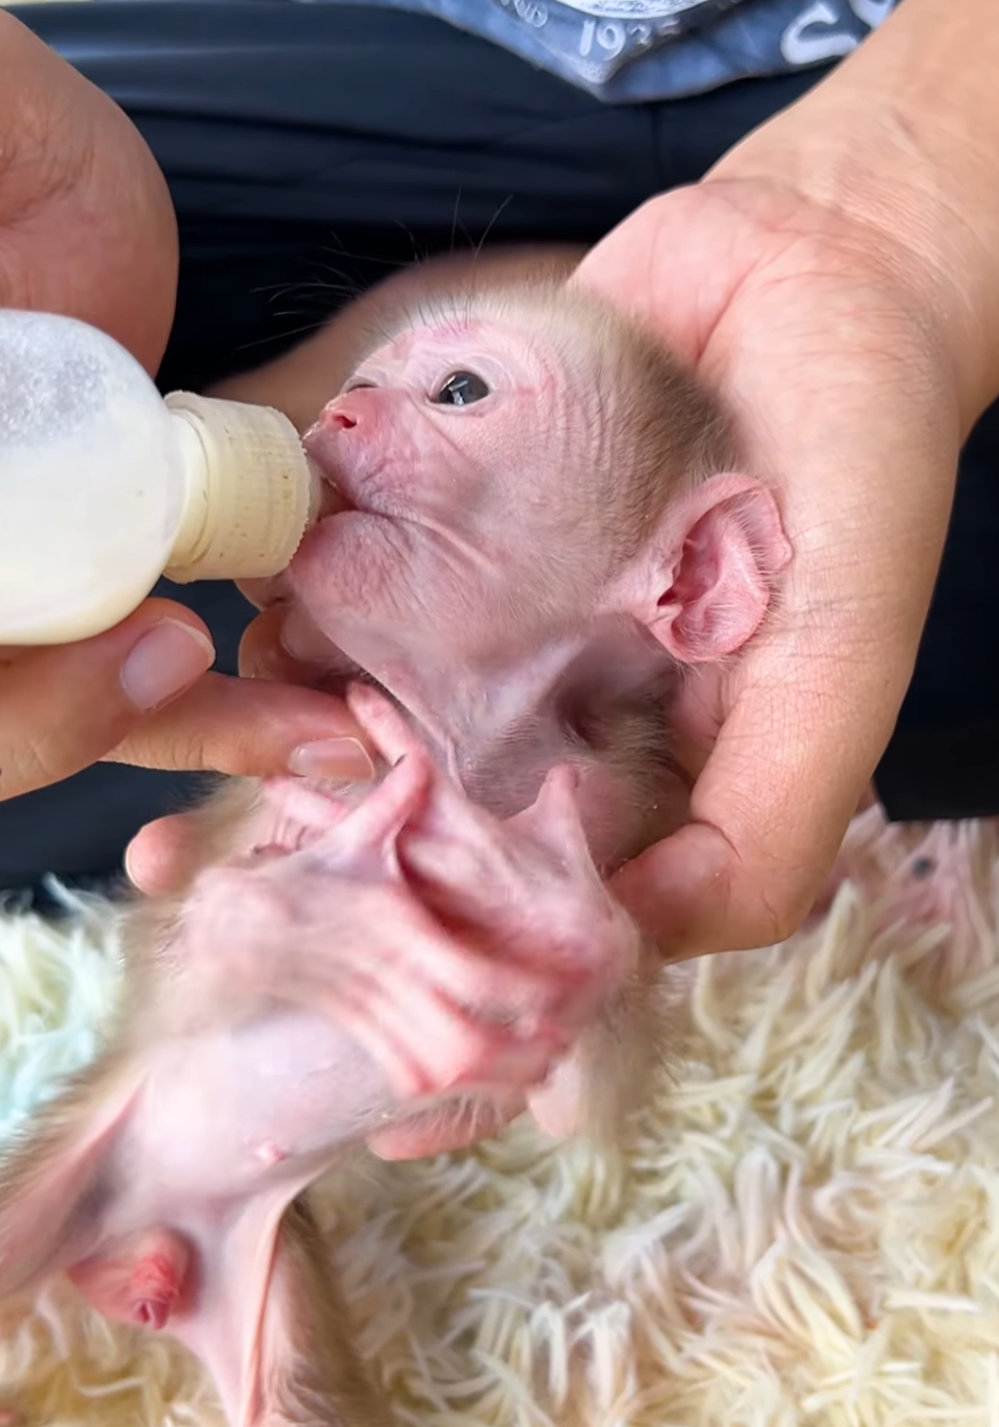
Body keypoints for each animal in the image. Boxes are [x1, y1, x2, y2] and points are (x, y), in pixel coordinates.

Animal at [0, 251, 792, 1425]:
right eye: (362, 379)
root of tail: (132, 1244)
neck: (461, 730)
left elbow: (578, 1102)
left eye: (459, 389)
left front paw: (539, 908)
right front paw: (320, 921)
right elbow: (205, 938)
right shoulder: (321, 763)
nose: (336, 410)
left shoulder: (617, 801)